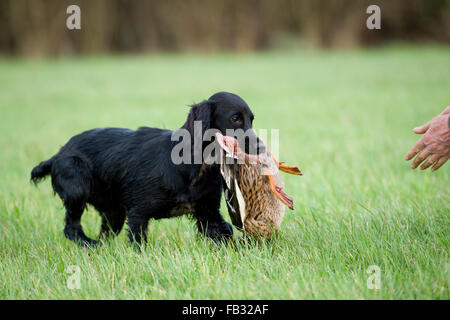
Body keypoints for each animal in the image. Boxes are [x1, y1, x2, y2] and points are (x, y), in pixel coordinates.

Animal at [31, 91, 262, 246]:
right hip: (77, 187)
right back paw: (88, 244)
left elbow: (225, 233)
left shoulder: (208, 213)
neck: (195, 167)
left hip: (114, 213)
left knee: (103, 234)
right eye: (235, 118)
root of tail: (58, 154)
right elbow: (138, 242)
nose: (261, 147)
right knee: (71, 227)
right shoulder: (138, 213)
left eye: (251, 119)